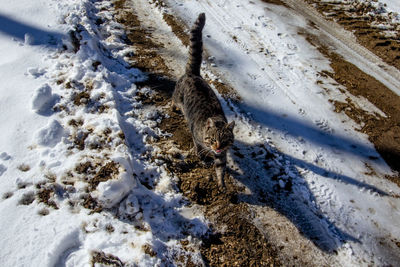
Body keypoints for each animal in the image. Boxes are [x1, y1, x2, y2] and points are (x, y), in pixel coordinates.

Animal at [172, 12, 234, 188]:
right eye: (213, 139)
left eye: (225, 141)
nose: (218, 147)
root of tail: (194, 74)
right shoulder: (197, 138)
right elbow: (199, 149)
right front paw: (202, 158)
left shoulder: (222, 155)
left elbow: (220, 168)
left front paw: (221, 183)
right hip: (177, 96)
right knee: (173, 100)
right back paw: (173, 108)